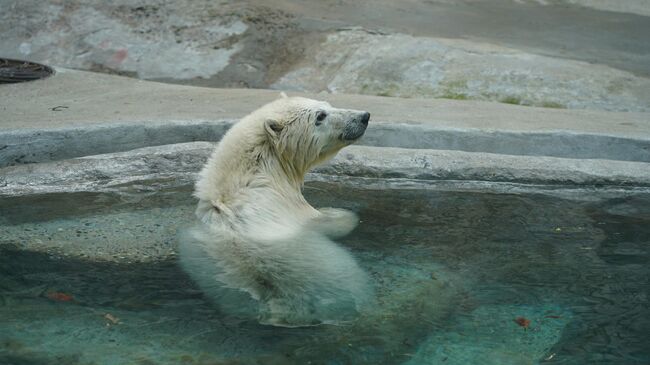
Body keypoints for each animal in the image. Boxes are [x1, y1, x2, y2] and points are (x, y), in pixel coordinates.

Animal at [177, 94, 372, 328]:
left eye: (328, 105)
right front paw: (342, 214)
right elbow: (325, 222)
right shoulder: (286, 205)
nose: (363, 117)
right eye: (320, 116)